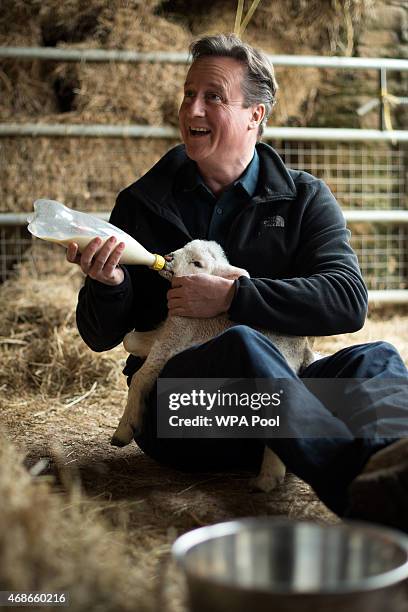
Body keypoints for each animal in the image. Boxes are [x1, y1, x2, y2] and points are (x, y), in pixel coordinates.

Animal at [111, 239, 316, 492]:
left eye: (198, 263)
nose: (168, 258)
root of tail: (303, 347)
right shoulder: (168, 331)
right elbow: (129, 339)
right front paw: (139, 348)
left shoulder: (175, 337)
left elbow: (141, 377)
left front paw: (124, 429)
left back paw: (268, 477)